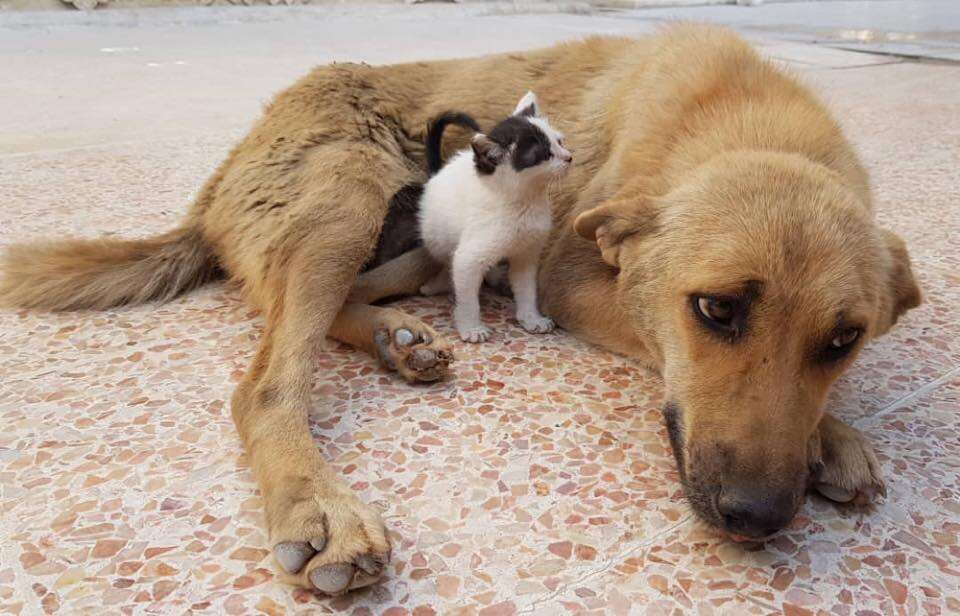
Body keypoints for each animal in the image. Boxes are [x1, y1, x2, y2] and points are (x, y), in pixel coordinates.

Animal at [0, 25, 924, 596]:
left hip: (405, 240)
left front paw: (831, 433)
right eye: (715, 310)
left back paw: (399, 341)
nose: (759, 521)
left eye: (843, 340)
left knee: (352, 302)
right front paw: (832, 436)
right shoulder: (571, 278)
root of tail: (219, 178)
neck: (740, 122)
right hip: (345, 202)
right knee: (267, 379)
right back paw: (322, 503)